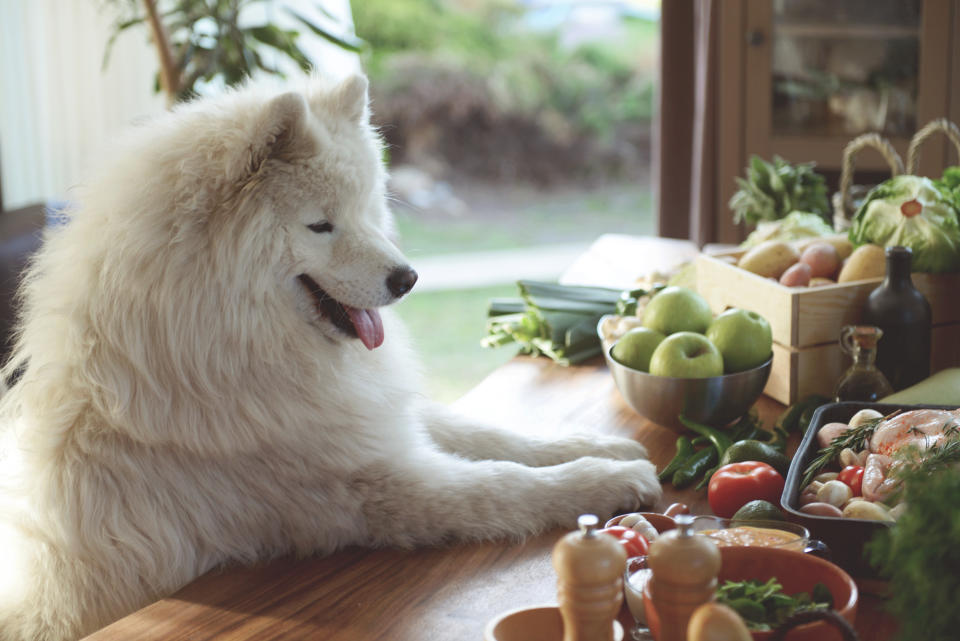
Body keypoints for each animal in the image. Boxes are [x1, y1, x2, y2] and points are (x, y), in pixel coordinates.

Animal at [0, 76, 660, 640]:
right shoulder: (375, 487)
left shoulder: (363, 416)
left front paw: (601, 447)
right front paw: (607, 480)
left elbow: (496, 435)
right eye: (320, 225)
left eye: (369, 209)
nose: (409, 279)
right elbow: (503, 485)